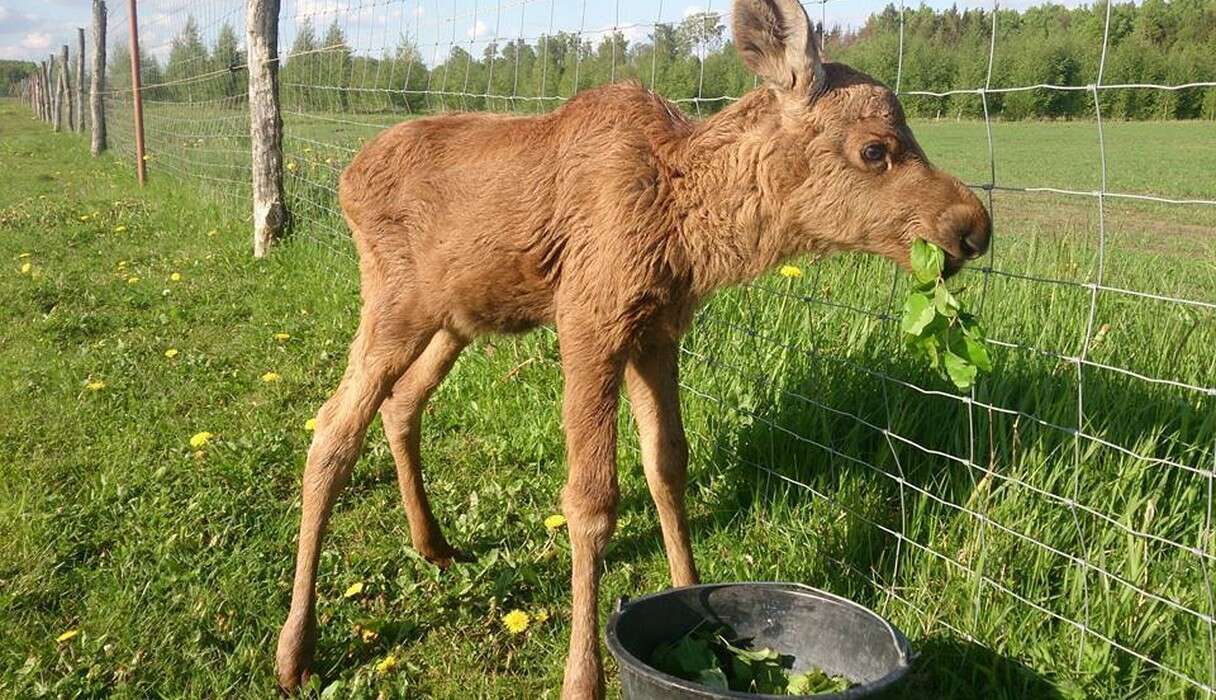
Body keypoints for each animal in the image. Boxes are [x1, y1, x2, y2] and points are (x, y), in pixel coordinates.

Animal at [276, 0, 987, 690]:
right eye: (875, 149)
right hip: (396, 302)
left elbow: (667, 463)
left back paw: (433, 544)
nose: (973, 226)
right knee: (332, 427)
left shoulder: (657, 333)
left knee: (401, 404)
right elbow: (591, 502)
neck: (685, 227)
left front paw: (695, 603)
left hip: (456, 318)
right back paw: (295, 650)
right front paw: (582, 676)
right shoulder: (589, 320)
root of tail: (345, 178)